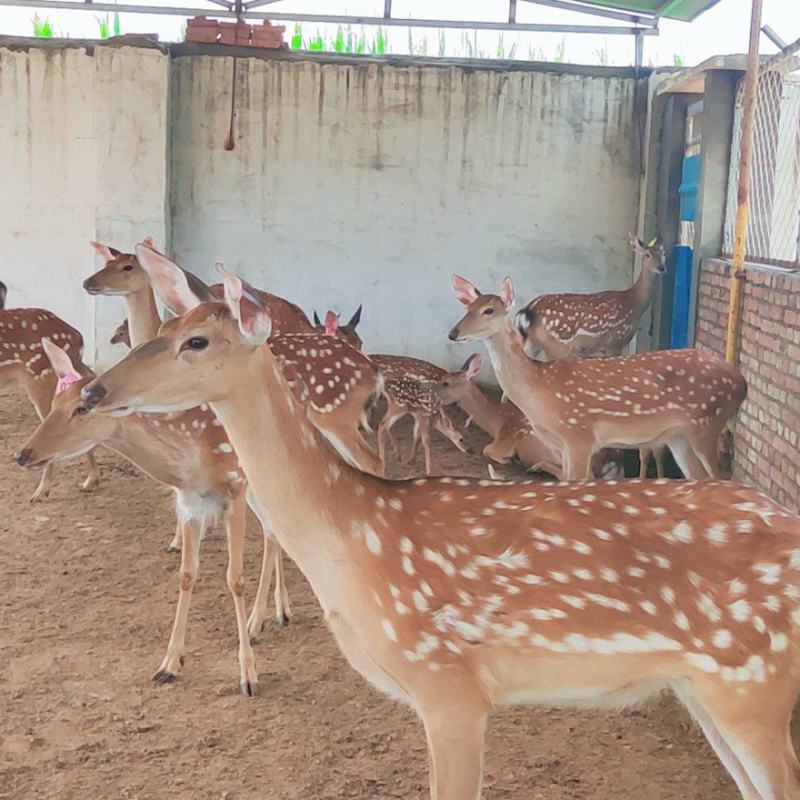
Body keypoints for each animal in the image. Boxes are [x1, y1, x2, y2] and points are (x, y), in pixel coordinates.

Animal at [446, 276, 748, 482]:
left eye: (489, 310)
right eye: (467, 307)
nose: (453, 332)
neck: (540, 391)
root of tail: (742, 383)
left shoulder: (580, 435)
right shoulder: (563, 445)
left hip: (707, 424)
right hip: (678, 437)